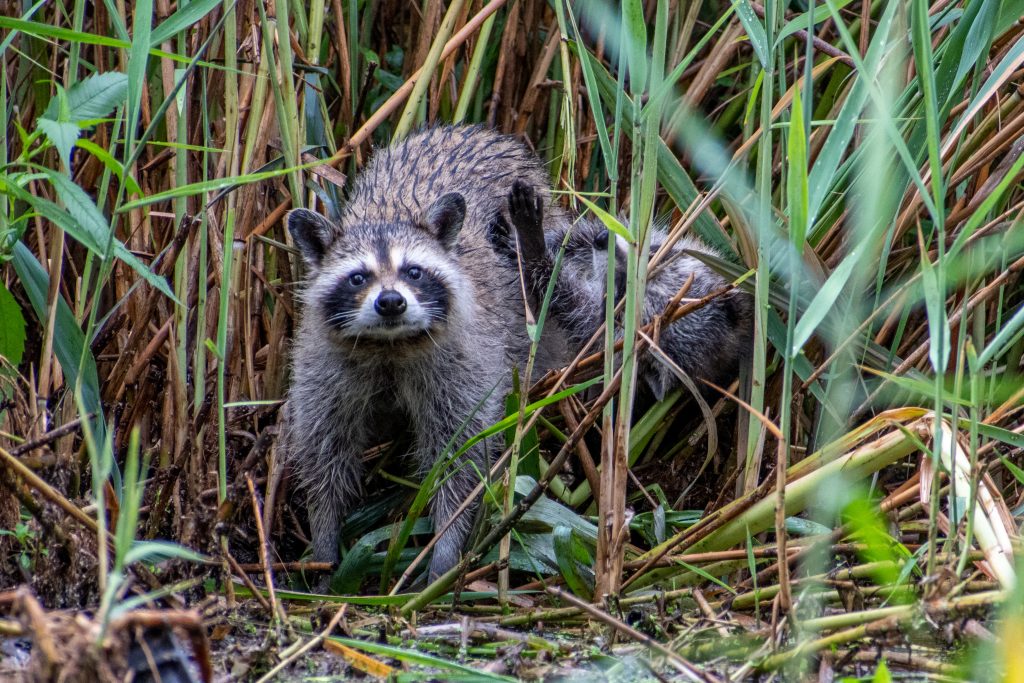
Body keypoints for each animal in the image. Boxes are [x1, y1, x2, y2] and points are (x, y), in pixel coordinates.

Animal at [285, 126, 567, 582]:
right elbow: (324, 451)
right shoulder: (325, 367)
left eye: (413, 272)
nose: (391, 303)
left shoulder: (463, 362)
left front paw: (445, 551)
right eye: (358, 277)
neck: (391, 345)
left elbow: (462, 456)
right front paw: (324, 539)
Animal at [488, 183, 751, 401]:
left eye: (621, 294)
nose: (603, 240)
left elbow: (564, 298)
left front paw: (533, 249)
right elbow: (584, 235)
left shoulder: (593, 330)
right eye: (653, 257)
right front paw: (557, 238)